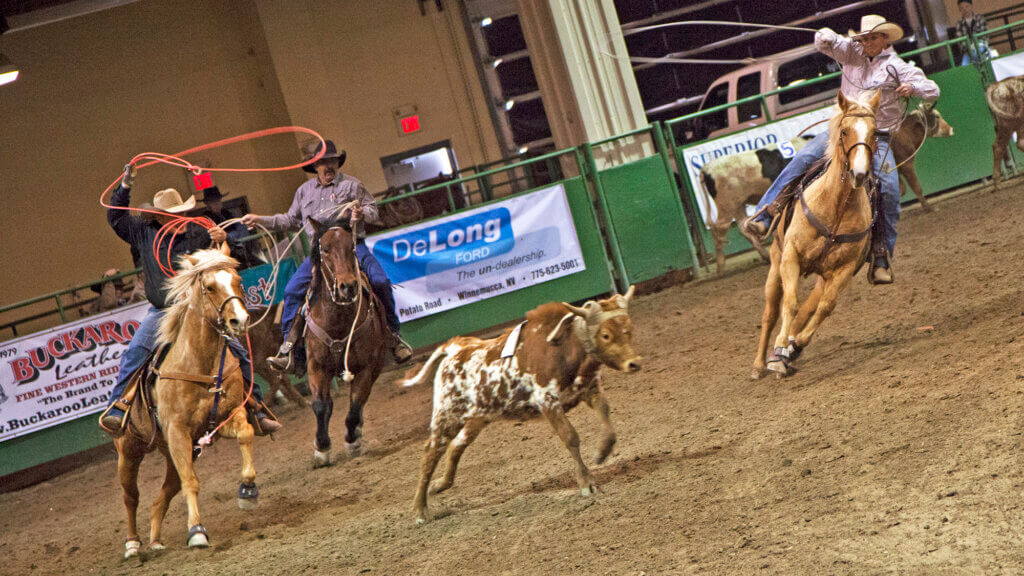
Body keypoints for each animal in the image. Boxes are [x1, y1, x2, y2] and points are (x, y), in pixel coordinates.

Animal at [109, 239, 256, 553]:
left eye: (238, 280)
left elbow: (246, 434)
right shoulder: (177, 431)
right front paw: (197, 531)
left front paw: (248, 490)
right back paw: (133, 543)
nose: (240, 320)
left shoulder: (224, 419)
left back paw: (155, 541)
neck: (199, 363)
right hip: (128, 452)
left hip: (175, 452)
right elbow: (192, 482)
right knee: (131, 497)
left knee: (161, 497)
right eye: (209, 287)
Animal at [303, 216, 387, 467]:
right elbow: (321, 406)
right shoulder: (316, 366)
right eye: (325, 249)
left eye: (352, 247)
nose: (348, 286)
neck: (338, 321)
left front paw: (352, 440)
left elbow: (356, 403)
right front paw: (321, 448)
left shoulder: (367, 367)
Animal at [749, 90, 884, 377]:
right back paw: (759, 364)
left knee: (809, 308)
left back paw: (783, 356)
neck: (835, 207)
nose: (859, 174)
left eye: (875, 132)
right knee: (770, 313)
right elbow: (790, 303)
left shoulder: (844, 270)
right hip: (775, 263)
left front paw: (794, 344)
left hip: (822, 276)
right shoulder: (790, 256)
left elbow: (824, 307)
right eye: (844, 131)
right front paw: (781, 344)